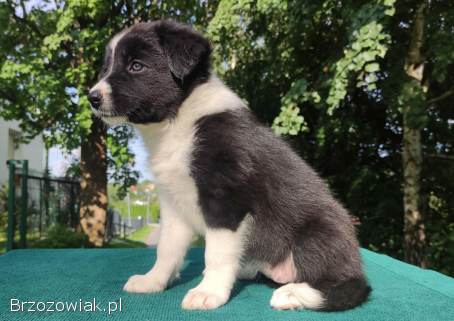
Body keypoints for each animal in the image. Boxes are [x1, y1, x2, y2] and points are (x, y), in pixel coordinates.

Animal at [89, 20, 372, 310]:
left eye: (136, 66)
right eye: (106, 67)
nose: (92, 97)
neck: (177, 123)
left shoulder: (226, 200)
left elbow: (216, 253)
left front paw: (208, 292)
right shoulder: (174, 203)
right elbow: (167, 248)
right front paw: (153, 281)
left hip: (317, 234)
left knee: (349, 285)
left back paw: (294, 294)